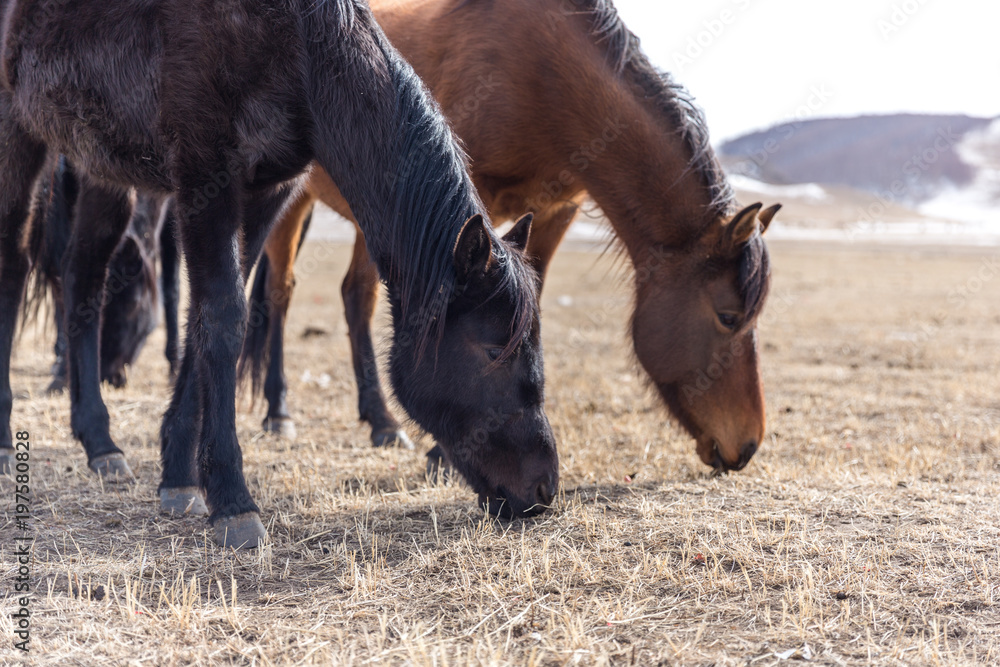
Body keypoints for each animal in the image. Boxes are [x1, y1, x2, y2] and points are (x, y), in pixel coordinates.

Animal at [244, 0, 780, 472]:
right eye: (728, 317)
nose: (749, 446)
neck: (543, 76)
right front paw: (446, 449)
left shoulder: (555, 212)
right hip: (295, 200)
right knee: (281, 293)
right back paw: (279, 412)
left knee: (355, 296)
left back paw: (381, 422)